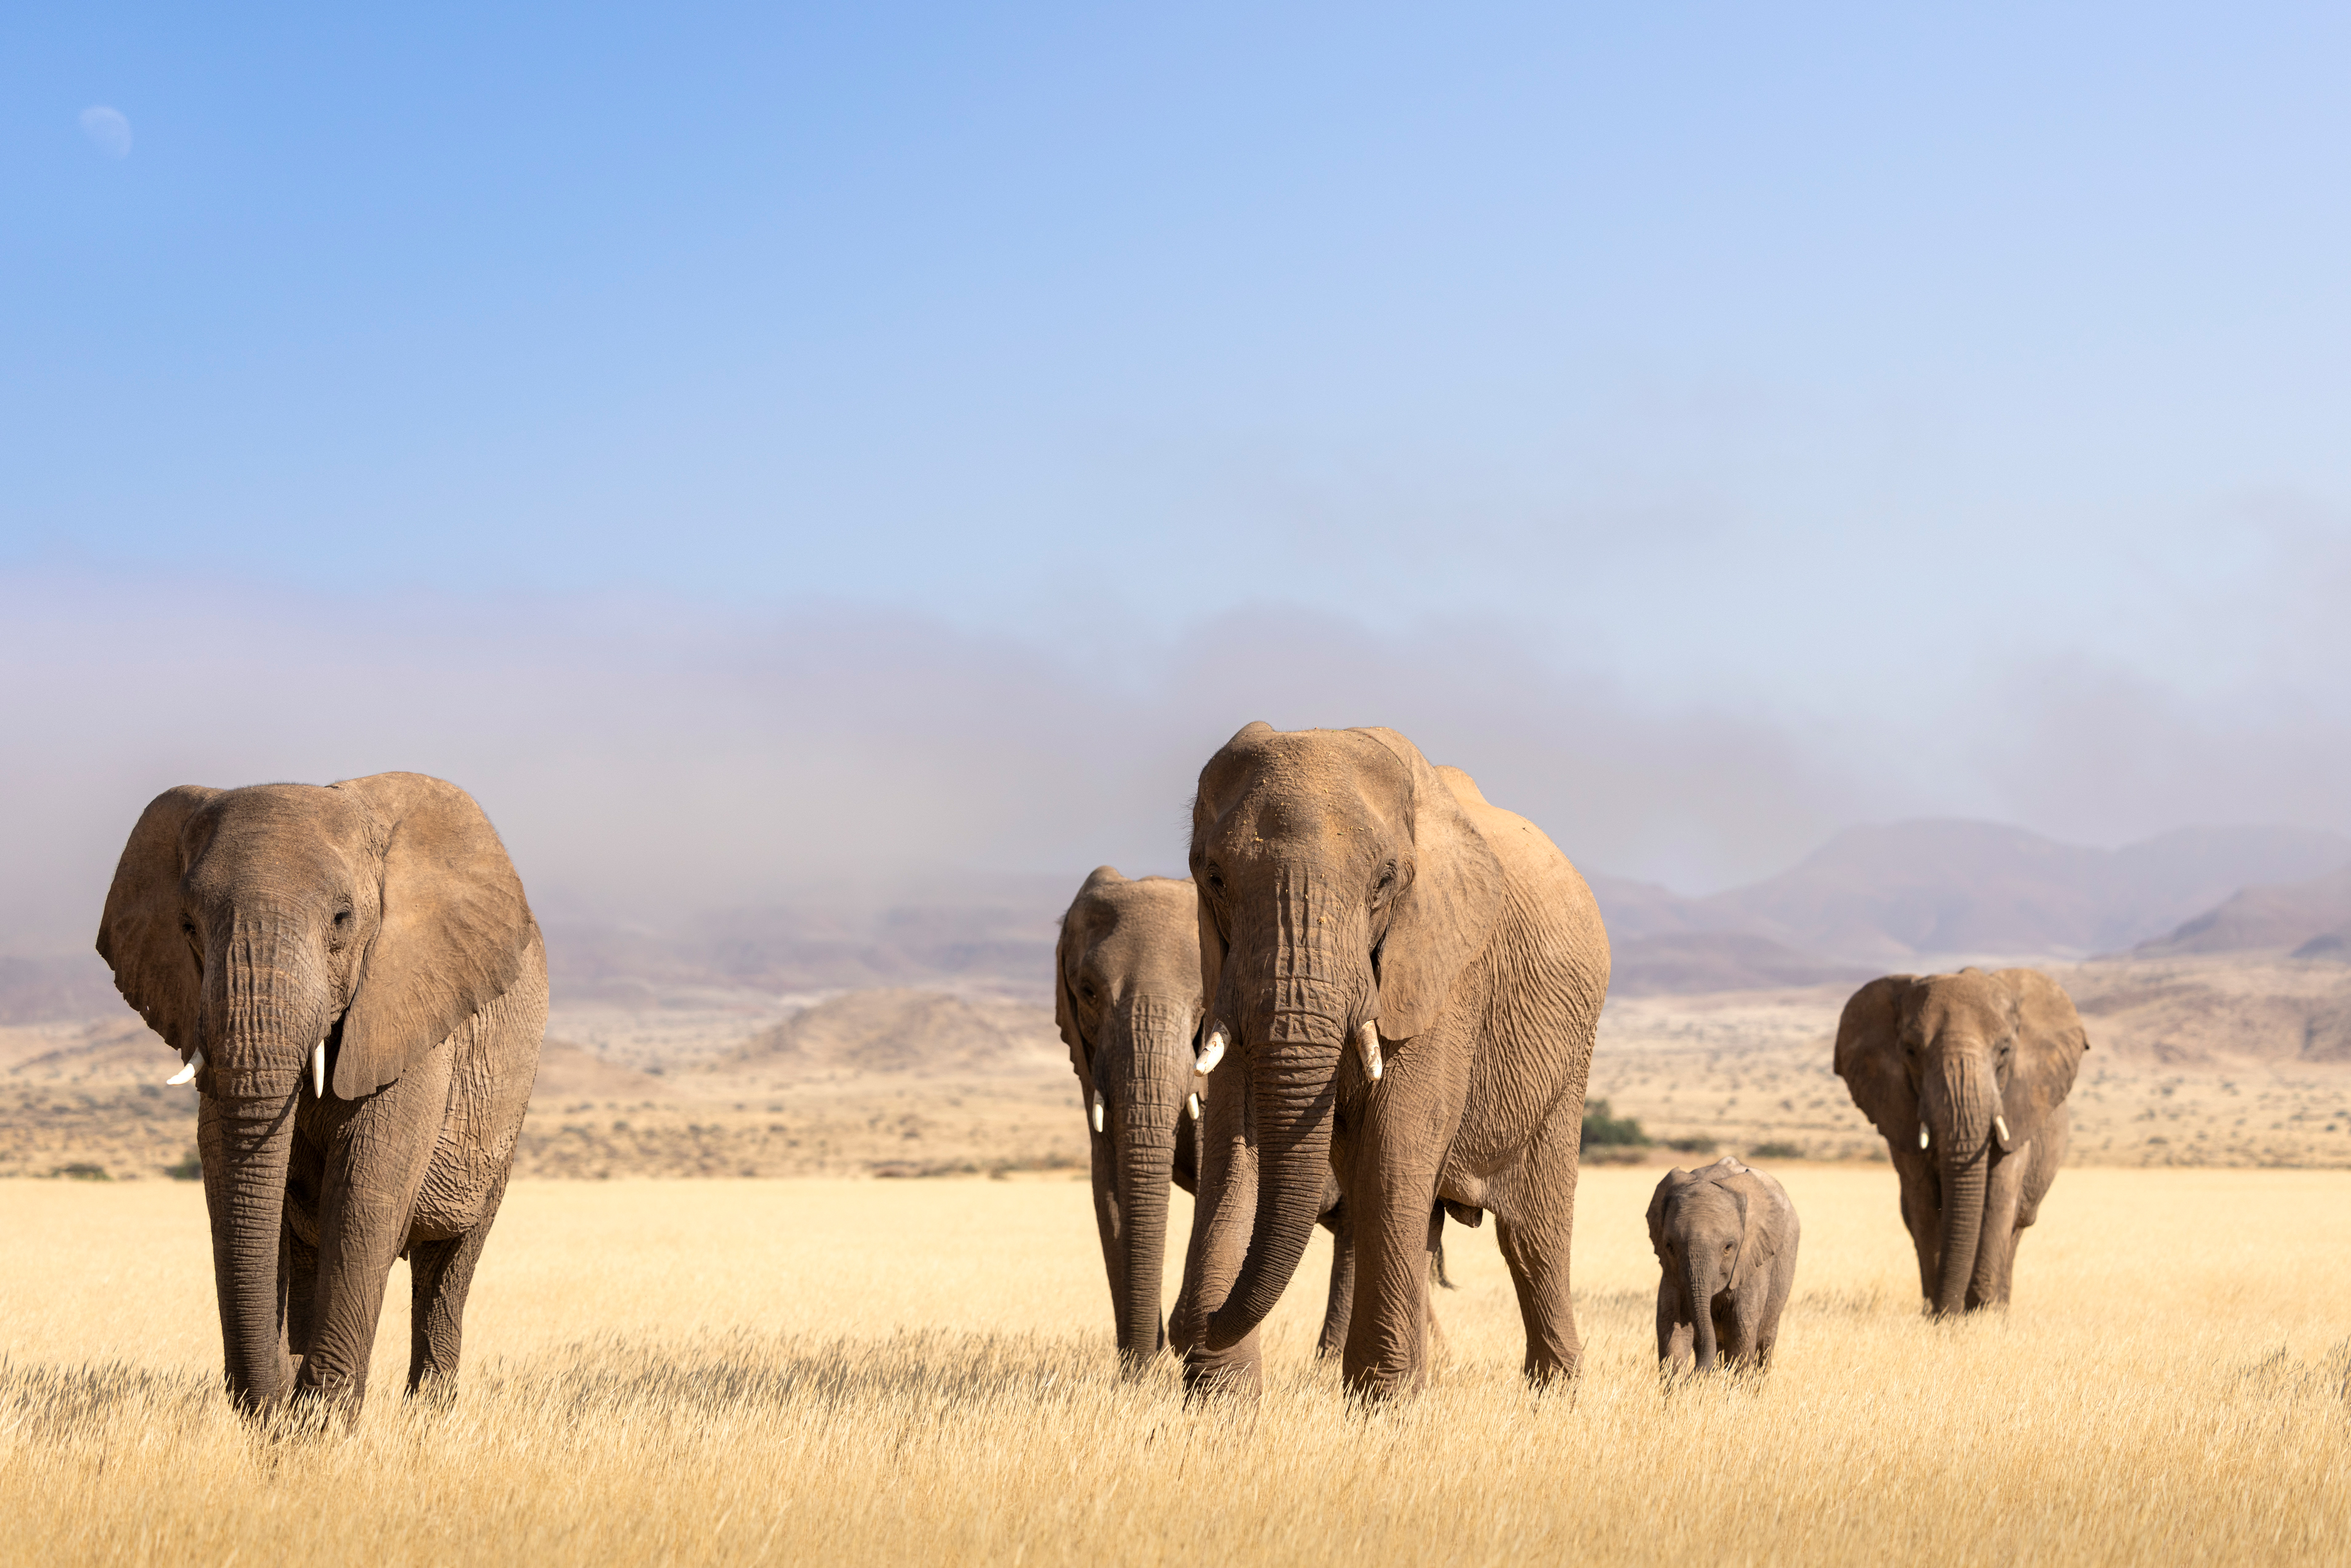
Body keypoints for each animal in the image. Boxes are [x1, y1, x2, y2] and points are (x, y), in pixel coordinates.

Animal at [96, 773, 545, 1418]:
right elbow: (227, 1170)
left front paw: (319, 1420)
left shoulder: (408, 1007)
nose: (273, 1399)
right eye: (187, 927)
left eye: (341, 918)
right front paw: (296, 1408)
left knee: (447, 1262)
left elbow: (363, 1189)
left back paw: (427, 1417)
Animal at [1056, 867, 1355, 1377]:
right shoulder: (1090, 1060)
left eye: (1203, 1001)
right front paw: (1134, 1379)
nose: (1152, 1355)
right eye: (1088, 992)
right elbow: (1107, 1185)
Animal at [1171, 723, 1610, 1398]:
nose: (1182, 1325)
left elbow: (1395, 1147)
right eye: (1214, 877)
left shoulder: (1445, 974)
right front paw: (1221, 1394)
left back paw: (1554, 1392)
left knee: (1532, 1234)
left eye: (1383, 882)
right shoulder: (1226, 969)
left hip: (1567, 1061)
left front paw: (1384, 1401)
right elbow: (1232, 1143)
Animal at [1647, 1156, 1800, 1373]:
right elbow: (1672, 1325)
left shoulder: (1752, 1258)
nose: (1694, 1372)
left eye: (1729, 1247)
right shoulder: (1672, 1272)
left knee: (1764, 1343)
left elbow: (1740, 1327)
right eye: (1669, 1247)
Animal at [1833, 967, 2088, 1316]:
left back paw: (1998, 1310)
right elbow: (1923, 1202)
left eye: (2005, 1050)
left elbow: (1998, 1195)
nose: (1949, 1310)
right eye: (1911, 1051)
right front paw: (1940, 1315)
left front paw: (1981, 1314)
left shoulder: (2016, 1111)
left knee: (2017, 1224)